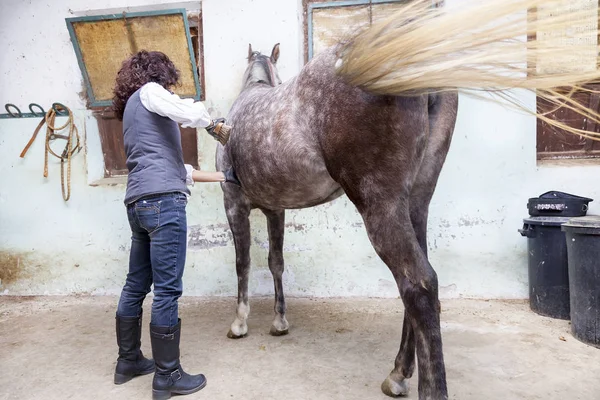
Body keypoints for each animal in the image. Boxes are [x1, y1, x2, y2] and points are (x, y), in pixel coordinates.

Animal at [216, 43, 460, 400]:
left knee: (419, 283)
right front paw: (279, 322)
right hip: (417, 201)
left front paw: (239, 324)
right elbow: (276, 262)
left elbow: (242, 264)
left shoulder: (234, 204)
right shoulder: (276, 209)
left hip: (380, 205)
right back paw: (398, 373)